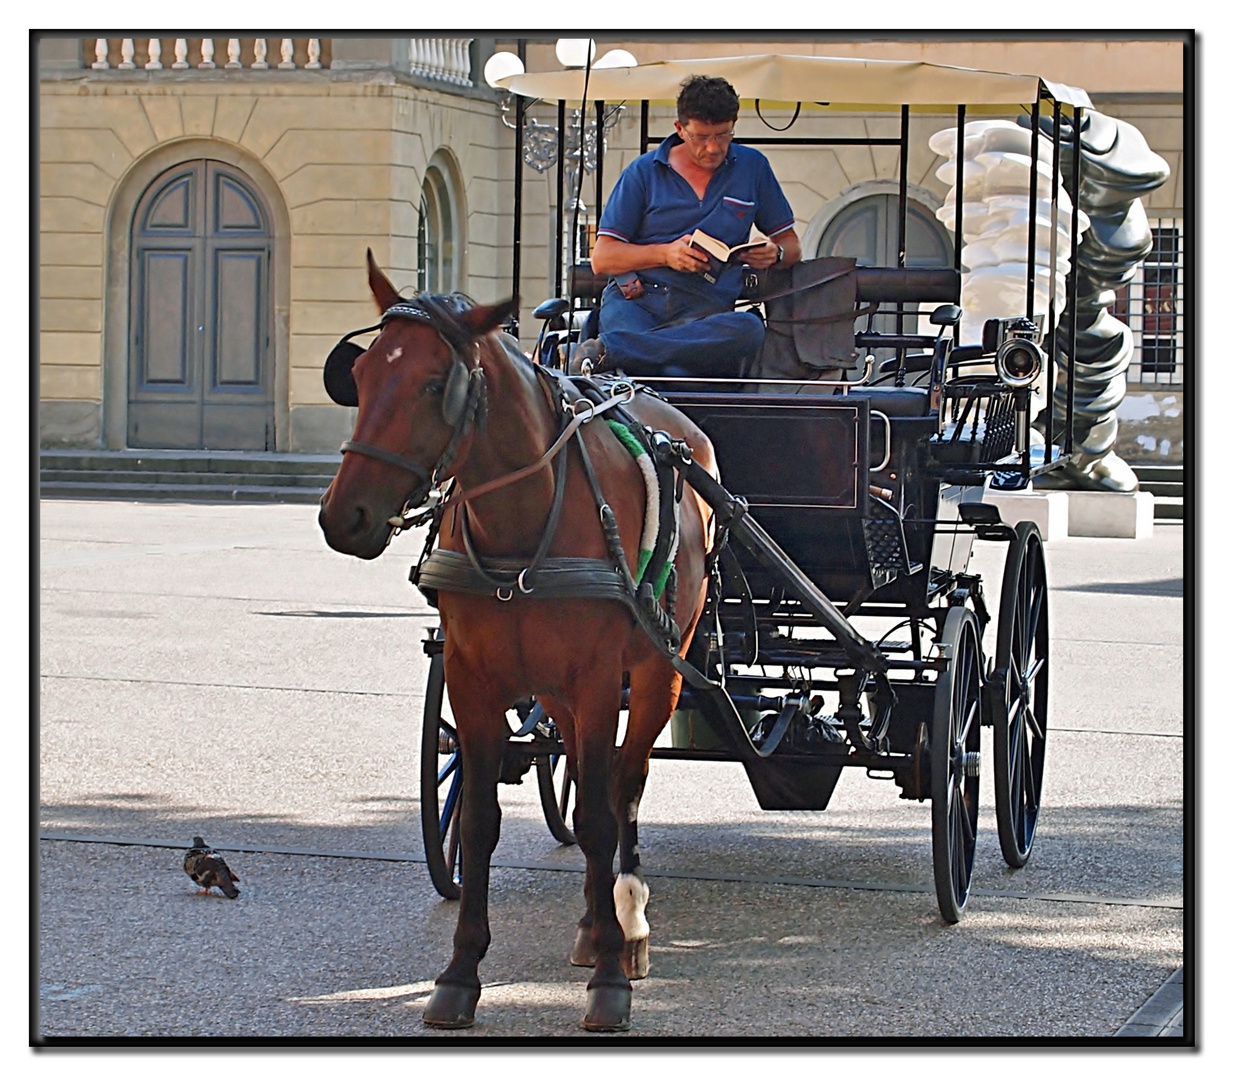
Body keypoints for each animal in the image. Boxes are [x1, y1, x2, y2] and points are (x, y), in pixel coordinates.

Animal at [318, 250, 721, 1028]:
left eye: (434, 384)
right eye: (361, 374)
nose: (343, 517)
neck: (524, 522)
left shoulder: (597, 681)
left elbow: (600, 818)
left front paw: (610, 981)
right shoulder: (473, 681)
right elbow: (479, 823)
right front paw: (460, 973)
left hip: (659, 670)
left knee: (624, 787)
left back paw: (625, 925)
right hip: (560, 693)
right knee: (586, 776)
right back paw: (595, 923)